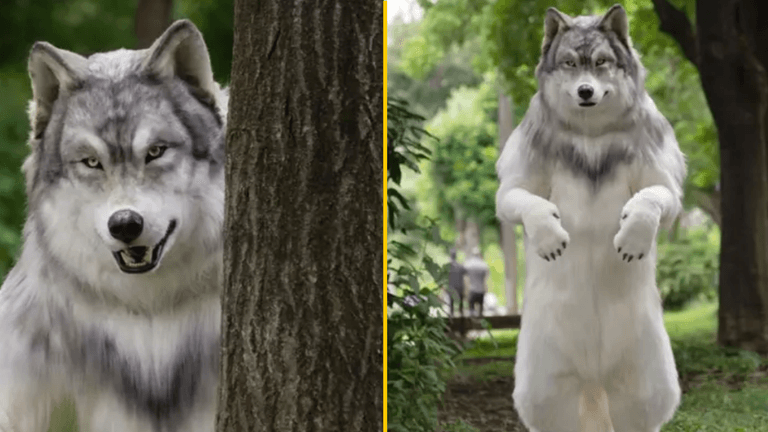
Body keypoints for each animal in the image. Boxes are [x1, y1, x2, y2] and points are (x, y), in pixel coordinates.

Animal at [495, 5, 685, 432]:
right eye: (569, 63)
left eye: (600, 63)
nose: (585, 92)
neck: (591, 136)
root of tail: (594, 380)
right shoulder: (512, 188)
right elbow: (526, 200)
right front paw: (548, 235)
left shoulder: (663, 186)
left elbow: (651, 198)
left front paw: (633, 235)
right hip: (546, 392)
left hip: (642, 388)